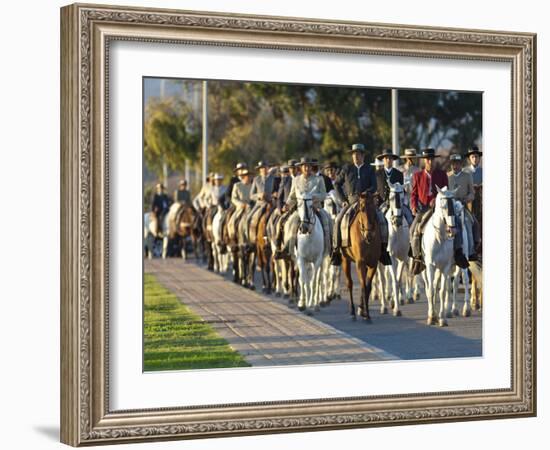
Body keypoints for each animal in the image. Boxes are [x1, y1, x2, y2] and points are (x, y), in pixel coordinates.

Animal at [344, 192, 384, 322]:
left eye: (374, 208)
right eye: (361, 209)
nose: (369, 234)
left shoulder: (373, 263)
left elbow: (367, 287)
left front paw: (366, 313)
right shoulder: (360, 262)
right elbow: (362, 285)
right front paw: (365, 313)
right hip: (345, 260)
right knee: (349, 283)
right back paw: (352, 311)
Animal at [424, 186, 460, 326]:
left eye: (454, 205)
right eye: (443, 206)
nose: (452, 230)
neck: (439, 238)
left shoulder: (445, 267)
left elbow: (443, 292)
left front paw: (442, 318)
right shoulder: (430, 265)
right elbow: (431, 290)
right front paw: (431, 317)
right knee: (429, 288)